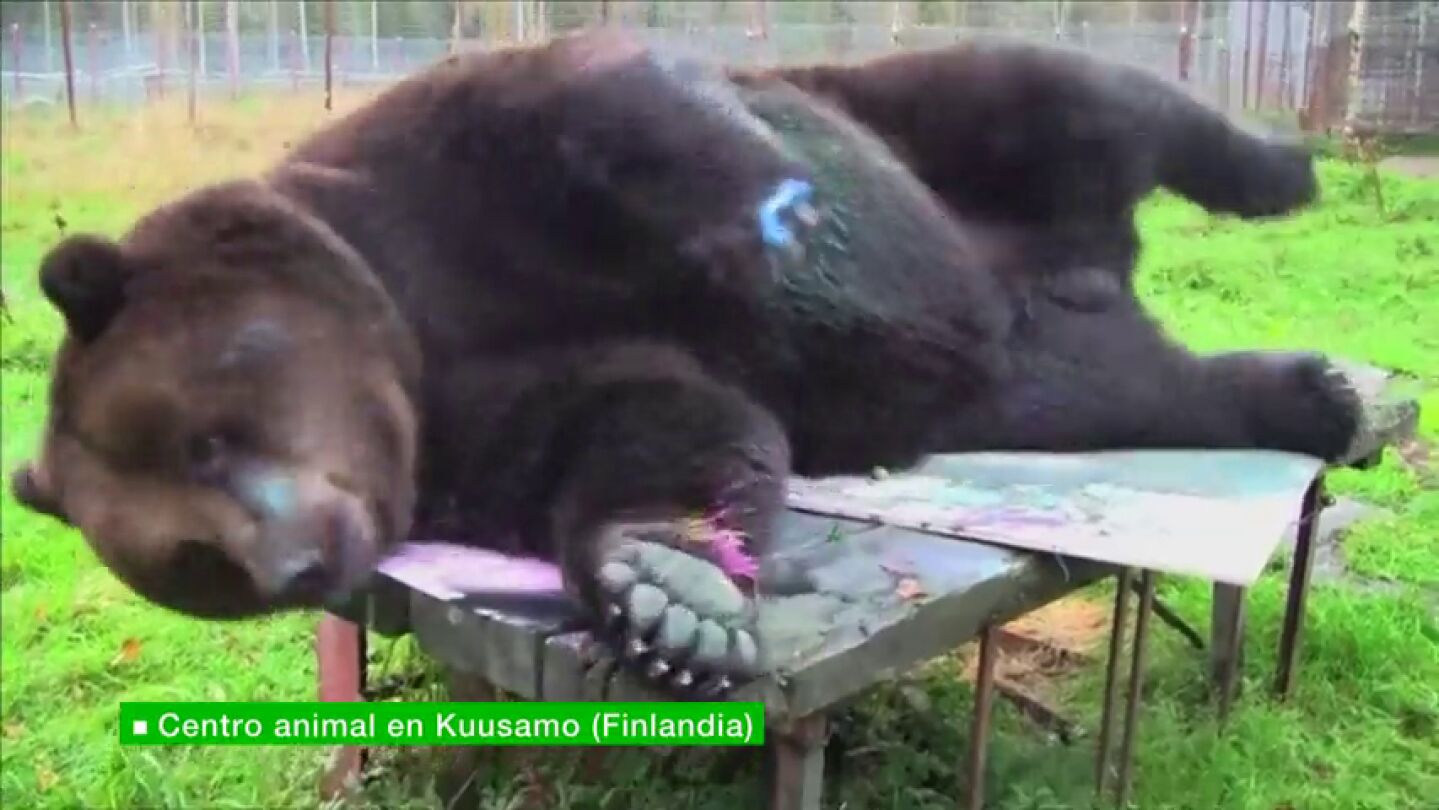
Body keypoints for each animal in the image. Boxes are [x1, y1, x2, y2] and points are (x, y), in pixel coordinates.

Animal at [10, 30, 1368, 699]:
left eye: (206, 436)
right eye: (193, 564)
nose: (299, 561)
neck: (403, 317)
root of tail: (1090, 259)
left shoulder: (446, 170)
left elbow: (614, 109)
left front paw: (772, 231)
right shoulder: (469, 416)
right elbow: (653, 421)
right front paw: (669, 594)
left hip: (920, 130)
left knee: (1060, 94)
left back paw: (1280, 168)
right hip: (1033, 381)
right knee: (1141, 386)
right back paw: (1315, 394)